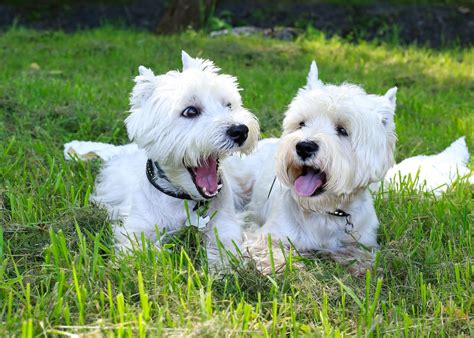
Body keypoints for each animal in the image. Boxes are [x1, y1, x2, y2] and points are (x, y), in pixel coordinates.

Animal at [89, 51, 260, 266]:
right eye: (190, 111)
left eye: (228, 105)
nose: (240, 131)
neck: (185, 198)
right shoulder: (138, 227)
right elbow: (137, 253)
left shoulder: (225, 225)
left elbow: (224, 249)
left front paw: (220, 269)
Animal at [241, 59, 396, 274]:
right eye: (301, 123)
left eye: (342, 130)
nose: (304, 147)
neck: (326, 212)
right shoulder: (268, 234)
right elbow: (269, 249)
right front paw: (283, 265)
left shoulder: (364, 239)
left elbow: (363, 254)